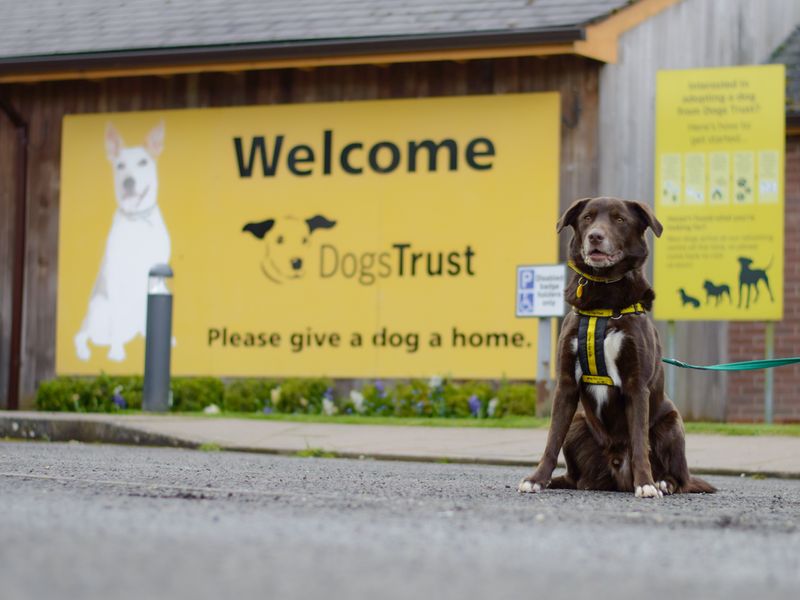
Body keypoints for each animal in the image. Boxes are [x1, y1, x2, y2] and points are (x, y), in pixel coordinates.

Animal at [520, 197, 716, 496]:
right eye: (587, 218)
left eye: (620, 220)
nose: (595, 236)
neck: (603, 299)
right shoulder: (565, 384)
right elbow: (552, 439)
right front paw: (537, 478)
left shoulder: (637, 385)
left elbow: (639, 442)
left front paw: (645, 483)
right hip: (578, 423)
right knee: (575, 476)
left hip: (672, 423)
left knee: (680, 477)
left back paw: (662, 482)